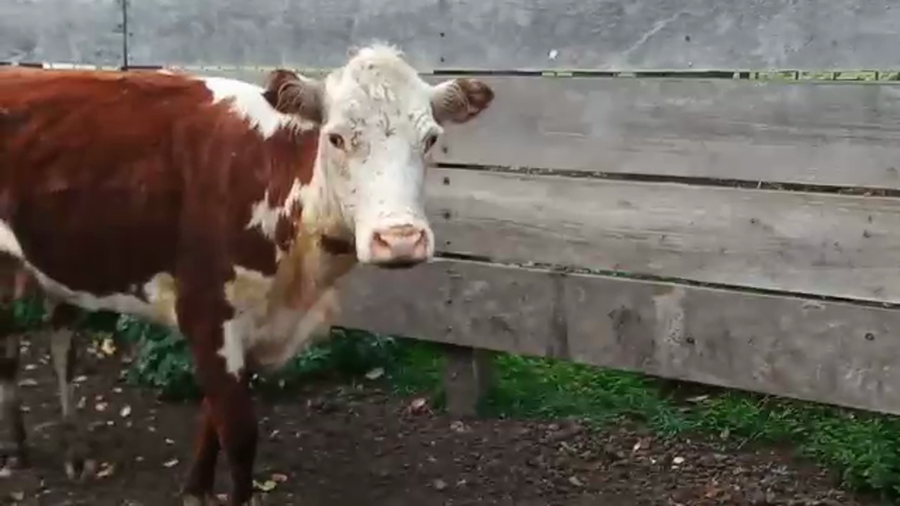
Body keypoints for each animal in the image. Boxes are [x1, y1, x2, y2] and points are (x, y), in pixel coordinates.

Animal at [0, 44, 494, 505]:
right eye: (335, 138)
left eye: (429, 139)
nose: (401, 239)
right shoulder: (207, 312)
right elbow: (239, 435)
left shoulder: (255, 324)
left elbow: (213, 418)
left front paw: (195, 489)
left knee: (54, 345)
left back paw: (65, 451)